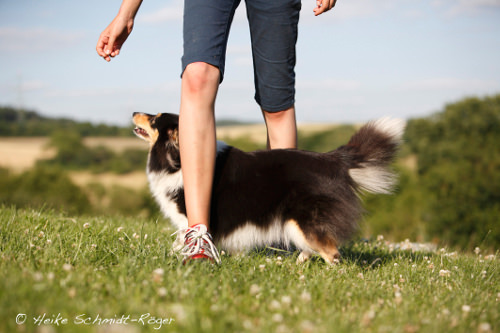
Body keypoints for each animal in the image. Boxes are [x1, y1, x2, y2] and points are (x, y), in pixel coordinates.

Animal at [132, 113, 402, 264]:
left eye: (154, 119)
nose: (134, 112)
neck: (176, 157)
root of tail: (334, 160)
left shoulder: (188, 215)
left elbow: (186, 238)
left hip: (300, 219)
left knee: (332, 253)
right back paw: (298, 263)